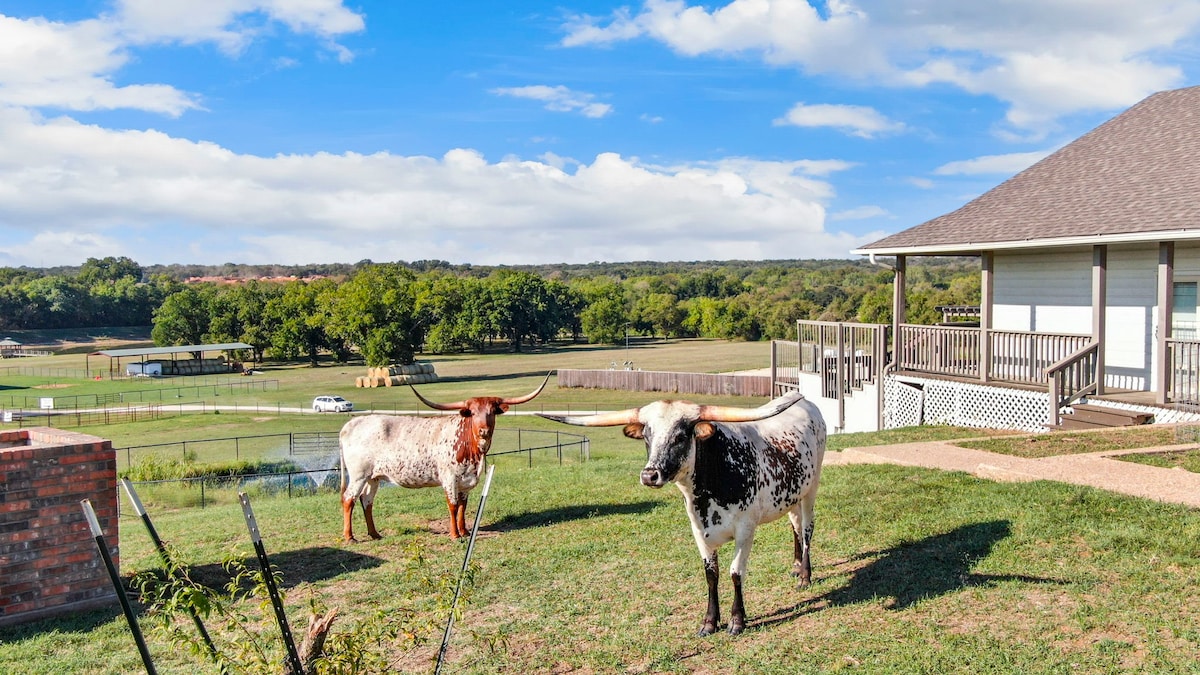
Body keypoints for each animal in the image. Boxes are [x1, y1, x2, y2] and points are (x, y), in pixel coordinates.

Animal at [333, 372, 549, 540]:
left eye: (491, 412)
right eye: (472, 412)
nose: (483, 430)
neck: (471, 449)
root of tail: (350, 425)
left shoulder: (466, 481)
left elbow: (462, 506)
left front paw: (465, 531)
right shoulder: (449, 478)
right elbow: (452, 506)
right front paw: (454, 534)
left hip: (373, 478)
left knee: (366, 501)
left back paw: (375, 534)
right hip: (359, 475)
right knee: (348, 499)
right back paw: (349, 536)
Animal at [542, 386, 825, 634]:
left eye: (680, 437)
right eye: (647, 437)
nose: (649, 475)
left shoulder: (746, 529)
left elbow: (735, 573)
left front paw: (737, 621)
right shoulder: (699, 531)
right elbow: (711, 575)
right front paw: (709, 622)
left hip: (811, 490)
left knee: (807, 529)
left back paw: (805, 576)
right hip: (792, 494)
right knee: (795, 525)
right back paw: (796, 566)